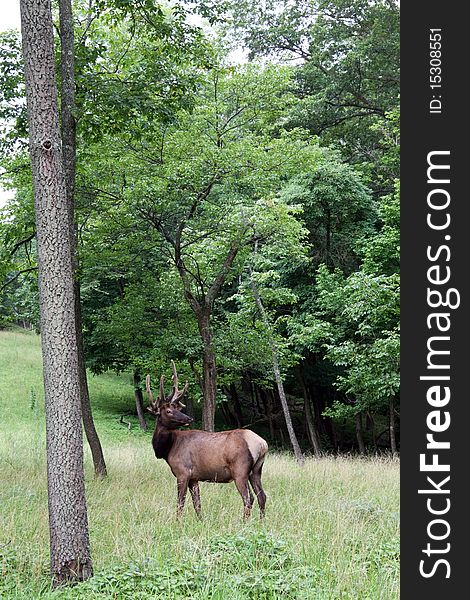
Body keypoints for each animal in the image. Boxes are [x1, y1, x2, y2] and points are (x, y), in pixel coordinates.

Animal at [145, 360, 268, 520]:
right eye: (169, 411)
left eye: (174, 409)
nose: (188, 418)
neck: (167, 450)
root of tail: (262, 444)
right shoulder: (194, 477)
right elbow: (197, 503)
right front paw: (200, 520)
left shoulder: (183, 472)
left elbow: (180, 502)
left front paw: (177, 521)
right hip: (257, 470)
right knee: (262, 496)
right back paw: (261, 522)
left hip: (240, 470)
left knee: (249, 498)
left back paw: (244, 522)